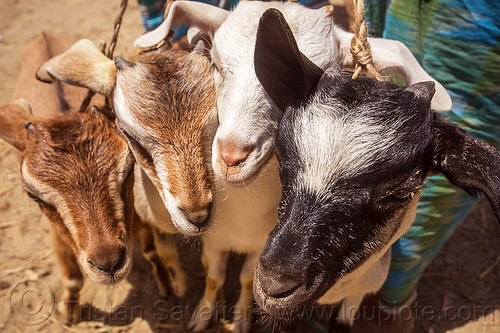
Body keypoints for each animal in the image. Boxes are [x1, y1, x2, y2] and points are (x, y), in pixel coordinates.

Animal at [0, 33, 186, 322]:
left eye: (128, 169)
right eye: (33, 195)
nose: (108, 262)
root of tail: (43, 35)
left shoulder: (134, 214)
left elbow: (151, 251)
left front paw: (165, 285)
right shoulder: (57, 233)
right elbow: (73, 277)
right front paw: (69, 312)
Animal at [36, 37, 282, 332]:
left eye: (215, 124)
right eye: (128, 134)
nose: (197, 215)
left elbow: (245, 279)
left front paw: (239, 321)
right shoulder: (153, 224)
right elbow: (168, 253)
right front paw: (180, 287)